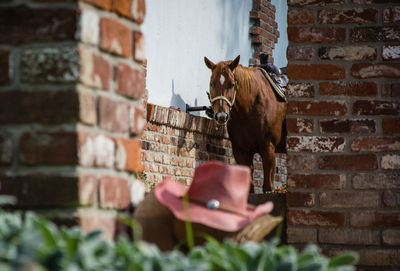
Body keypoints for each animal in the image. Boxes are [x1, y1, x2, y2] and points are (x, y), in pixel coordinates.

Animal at [205, 55, 286, 193]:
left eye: (232, 84)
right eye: (211, 83)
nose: (221, 116)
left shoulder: (268, 148)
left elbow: (267, 188)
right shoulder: (241, 151)